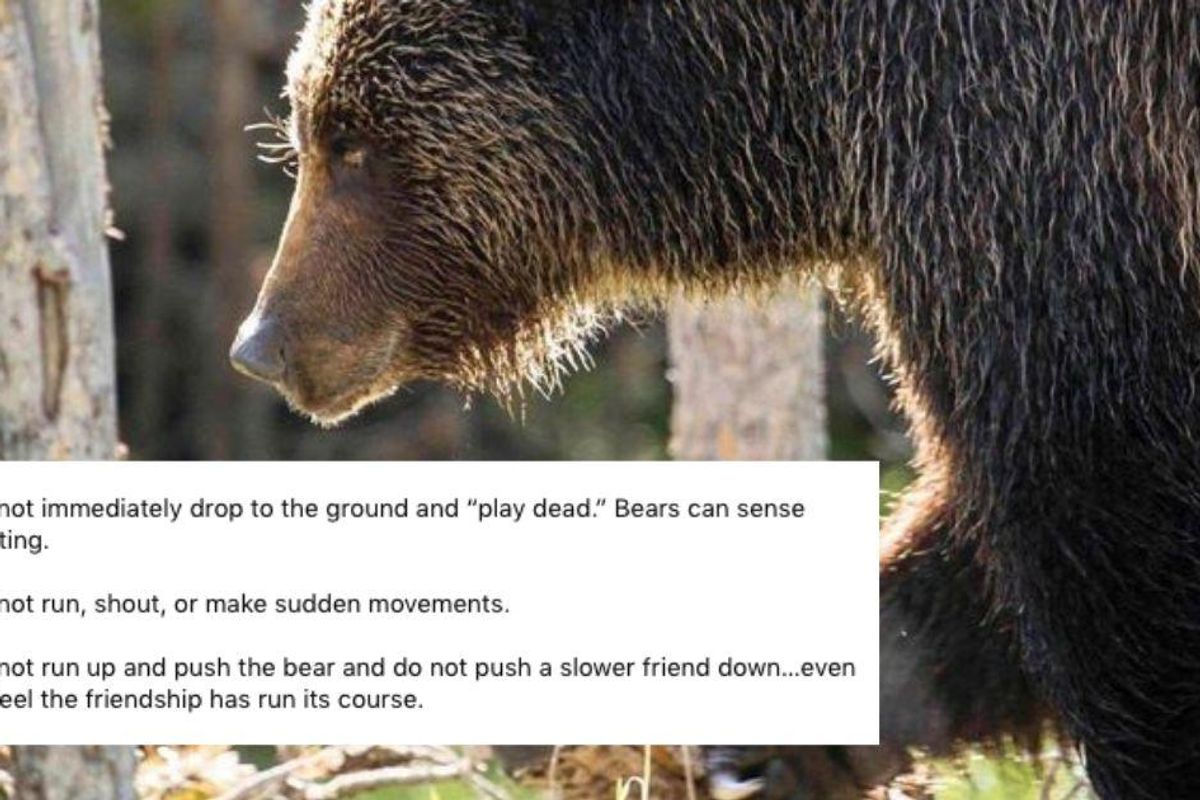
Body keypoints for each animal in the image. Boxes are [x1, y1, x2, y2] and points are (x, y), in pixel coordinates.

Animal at [230, 2, 1200, 798]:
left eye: (348, 138)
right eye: (308, 126)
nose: (261, 344)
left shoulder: (1035, 150)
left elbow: (1098, 499)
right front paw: (767, 741)